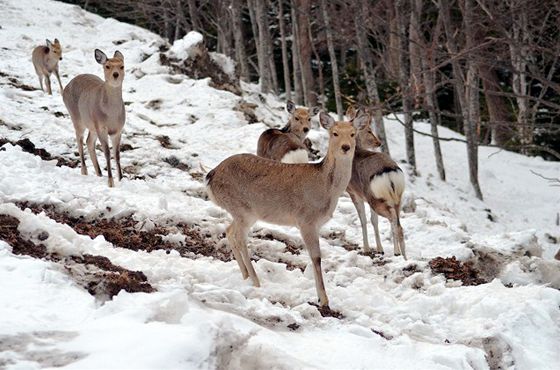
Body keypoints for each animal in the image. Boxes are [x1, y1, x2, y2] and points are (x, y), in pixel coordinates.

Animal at [63, 49, 126, 188]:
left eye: (122, 66)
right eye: (107, 66)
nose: (115, 74)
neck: (112, 115)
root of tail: (66, 87)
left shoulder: (118, 130)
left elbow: (117, 155)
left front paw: (121, 179)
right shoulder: (101, 127)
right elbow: (107, 153)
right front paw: (111, 182)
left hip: (92, 125)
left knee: (88, 141)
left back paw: (99, 173)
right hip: (77, 118)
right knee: (79, 140)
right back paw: (84, 171)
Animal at [207, 111, 372, 308]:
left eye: (353, 134)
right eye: (335, 133)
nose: (346, 147)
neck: (328, 190)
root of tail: (210, 176)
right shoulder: (306, 220)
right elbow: (316, 257)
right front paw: (323, 300)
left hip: (244, 213)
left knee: (229, 231)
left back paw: (245, 275)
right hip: (242, 209)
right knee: (239, 237)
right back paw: (255, 280)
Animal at [346, 105, 406, 258]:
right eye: (369, 130)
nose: (378, 142)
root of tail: (389, 174)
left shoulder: (354, 193)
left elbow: (363, 220)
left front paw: (367, 248)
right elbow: (374, 221)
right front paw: (380, 249)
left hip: (375, 198)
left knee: (393, 221)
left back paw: (397, 253)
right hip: (396, 197)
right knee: (398, 223)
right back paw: (402, 255)